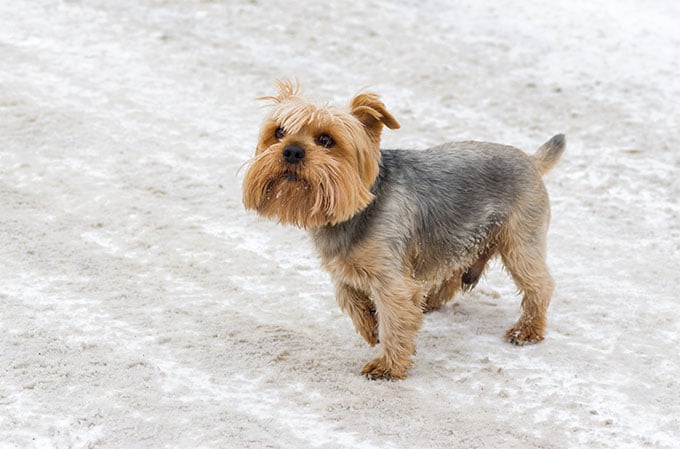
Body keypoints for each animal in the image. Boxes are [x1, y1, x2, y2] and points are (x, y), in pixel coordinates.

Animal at [242, 79, 564, 378]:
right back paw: (429, 301)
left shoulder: (391, 280)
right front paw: (371, 327)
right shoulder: (343, 269)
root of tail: (531, 160)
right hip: (457, 238)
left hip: (521, 240)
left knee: (539, 284)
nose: (291, 151)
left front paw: (388, 365)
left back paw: (527, 330)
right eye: (279, 132)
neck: (357, 209)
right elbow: (349, 298)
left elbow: (394, 319)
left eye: (326, 139)